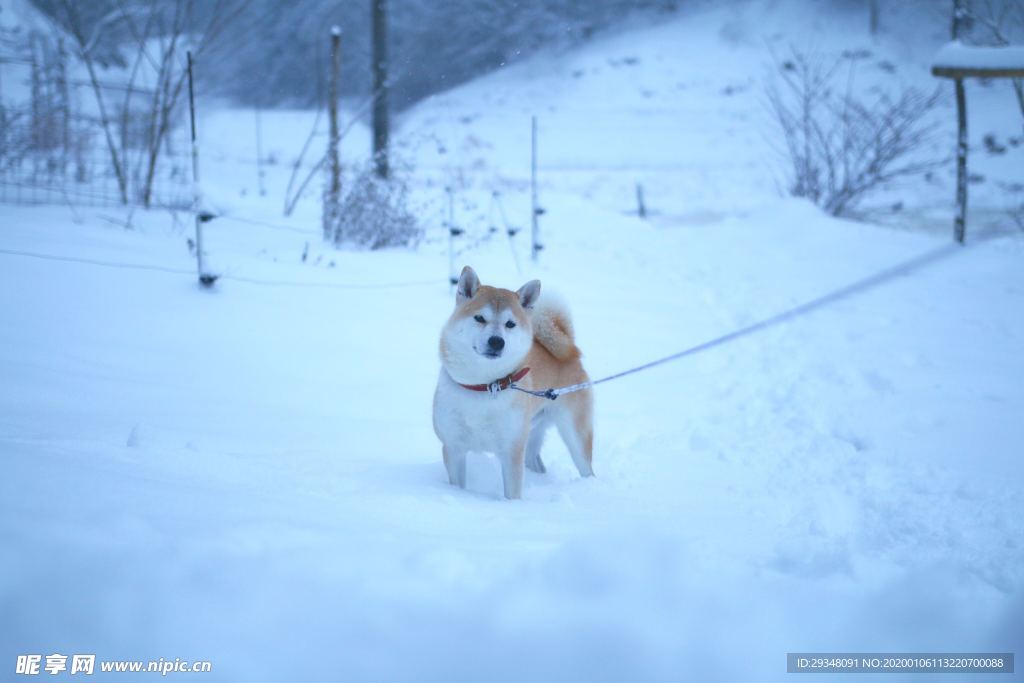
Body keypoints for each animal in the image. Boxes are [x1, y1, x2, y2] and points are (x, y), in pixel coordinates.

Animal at [430, 264, 593, 499]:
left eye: (510, 324)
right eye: (479, 318)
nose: (497, 342)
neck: (485, 386)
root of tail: (569, 351)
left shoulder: (511, 451)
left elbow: (512, 493)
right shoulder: (453, 447)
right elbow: (457, 484)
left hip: (575, 434)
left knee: (586, 467)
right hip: (532, 432)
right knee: (534, 460)